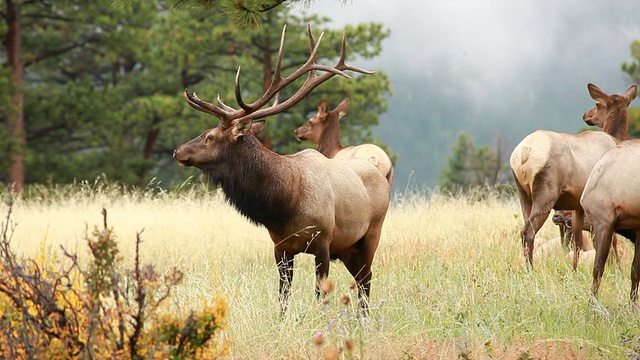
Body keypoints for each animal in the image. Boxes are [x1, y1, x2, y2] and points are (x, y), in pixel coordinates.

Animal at [171, 25, 390, 316]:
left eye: (210, 136)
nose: (178, 151)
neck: (286, 203)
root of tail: (379, 169)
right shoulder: (280, 247)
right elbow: (283, 295)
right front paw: (282, 320)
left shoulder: (323, 241)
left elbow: (320, 293)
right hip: (347, 248)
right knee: (362, 279)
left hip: (371, 233)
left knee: (366, 279)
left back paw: (364, 318)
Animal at [510, 83, 636, 270]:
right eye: (597, 103)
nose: (586, 115)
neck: (616, 140)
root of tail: (523, 154)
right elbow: (609, 241)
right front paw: (616, 270)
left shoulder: (577, 205)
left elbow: (577, 241)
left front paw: (574, 270)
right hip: (546, 191)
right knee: (528, 231)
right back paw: (530, 271)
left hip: (523, 193)